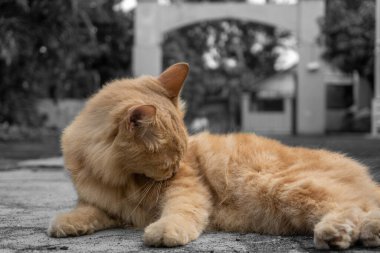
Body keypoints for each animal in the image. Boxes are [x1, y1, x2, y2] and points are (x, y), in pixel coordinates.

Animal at [49, 62, 380, 249]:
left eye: (179, 160)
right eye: (169, 160)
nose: (172, 171)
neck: (118, 180)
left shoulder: (187, 187)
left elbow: (181, 209)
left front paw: (167, 230)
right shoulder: (104, 204)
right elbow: (87, 210)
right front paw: (67, 223)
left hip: (281, 185)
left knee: (353, 208)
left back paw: (337, 233)